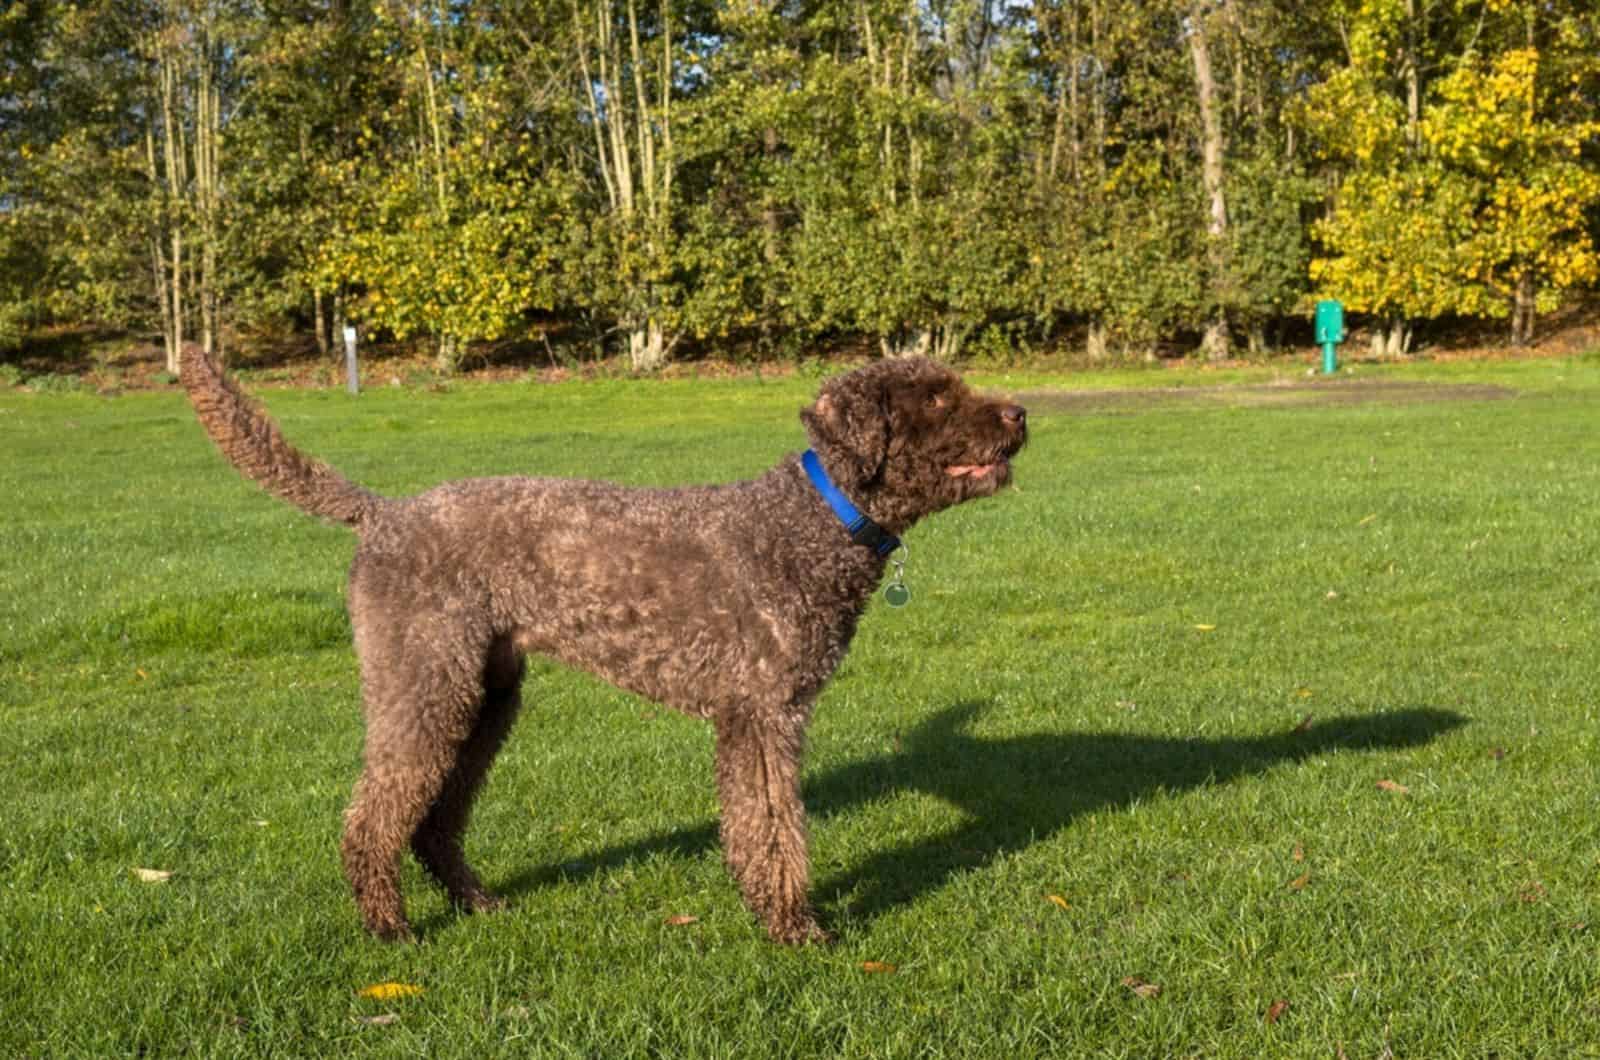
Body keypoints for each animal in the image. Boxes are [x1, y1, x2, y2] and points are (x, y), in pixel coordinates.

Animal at [175, 349, 1024, 947]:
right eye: (937, 396)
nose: (1019, 414)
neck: (808, 524)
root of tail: (383, 514)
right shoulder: (762, 714)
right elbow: (774, 829)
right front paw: (795, 928)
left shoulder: (759, 715)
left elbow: (763, 827)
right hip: (422, 685)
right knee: (373, 817)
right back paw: (389, 928)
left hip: (483, 697)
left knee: (434, 817)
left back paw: (477, 902)